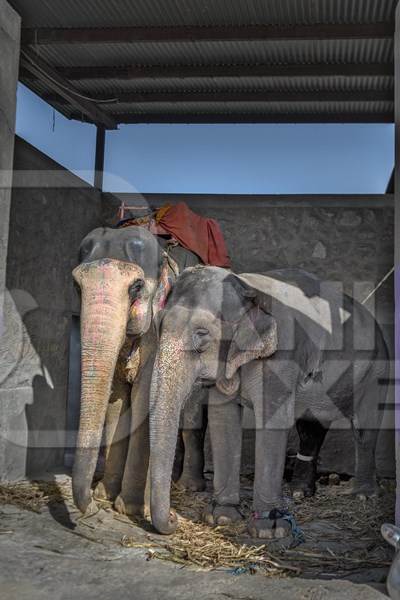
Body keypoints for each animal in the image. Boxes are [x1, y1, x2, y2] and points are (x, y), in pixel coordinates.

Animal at [70, 226, 206, 516]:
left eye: (136, 286)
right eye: (77, 286)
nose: (90, 509)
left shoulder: (159, 330)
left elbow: (144, 397)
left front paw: (130, 508)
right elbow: (119, 398)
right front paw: (104, 495)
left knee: (191, 418)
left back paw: (188, 486)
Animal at [148, 266, 388, 540]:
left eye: (202, 335)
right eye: (159, 326)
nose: (173, 518)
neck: (247, 287)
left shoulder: (281, 357)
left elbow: (272, 421)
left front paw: (269, 530)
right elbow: (223, 420)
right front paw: (221, 517)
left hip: (376, 372)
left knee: (364, 430)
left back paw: (363, 495)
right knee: (311, 429)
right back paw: (300, 492)